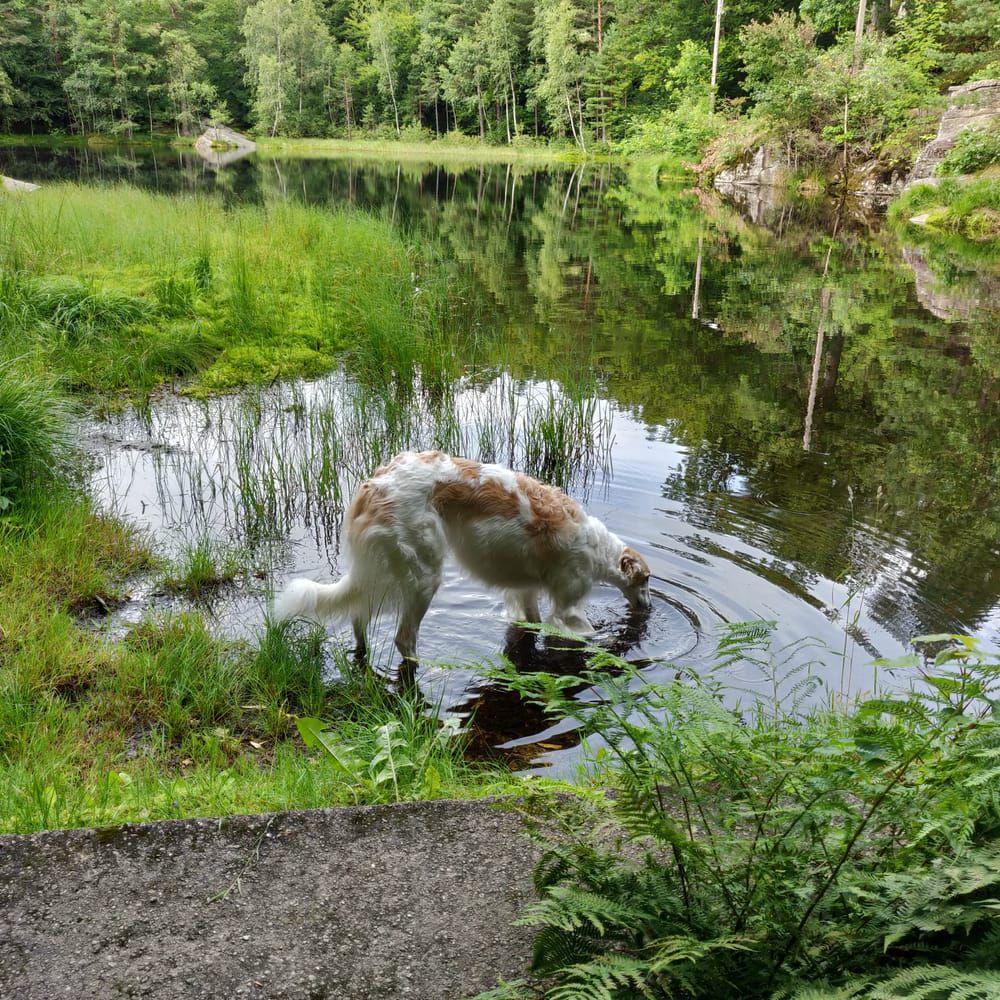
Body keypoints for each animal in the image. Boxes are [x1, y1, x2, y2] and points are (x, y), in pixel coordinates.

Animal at [274, 454, 652, 664]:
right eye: (647, 581)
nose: (648, 609)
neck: (596, 546)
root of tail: (373, 485)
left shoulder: (524, 592)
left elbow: (530, 621)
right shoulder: (567, 606)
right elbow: (586, 634)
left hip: (380, 573)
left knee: (358, 617)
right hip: (423, 577)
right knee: (403, 639)